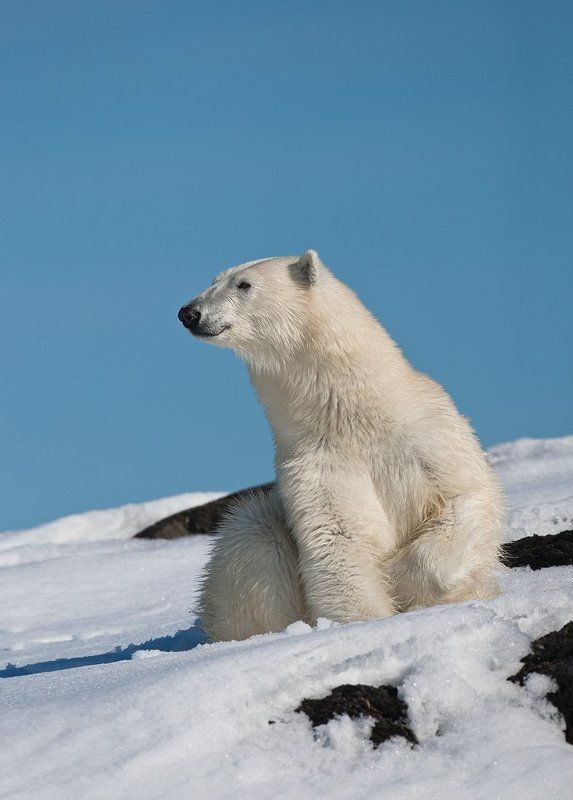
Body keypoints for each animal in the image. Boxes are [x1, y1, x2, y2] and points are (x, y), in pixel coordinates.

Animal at [178, 250, 505, 642]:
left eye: (243, 284)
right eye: (214, 280)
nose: (189, 313)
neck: (353, 415)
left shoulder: (430, 433)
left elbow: (462, 496)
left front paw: (400, 577)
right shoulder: (316, 464)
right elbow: (337, 537)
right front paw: (367, 621)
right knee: (254, 541)